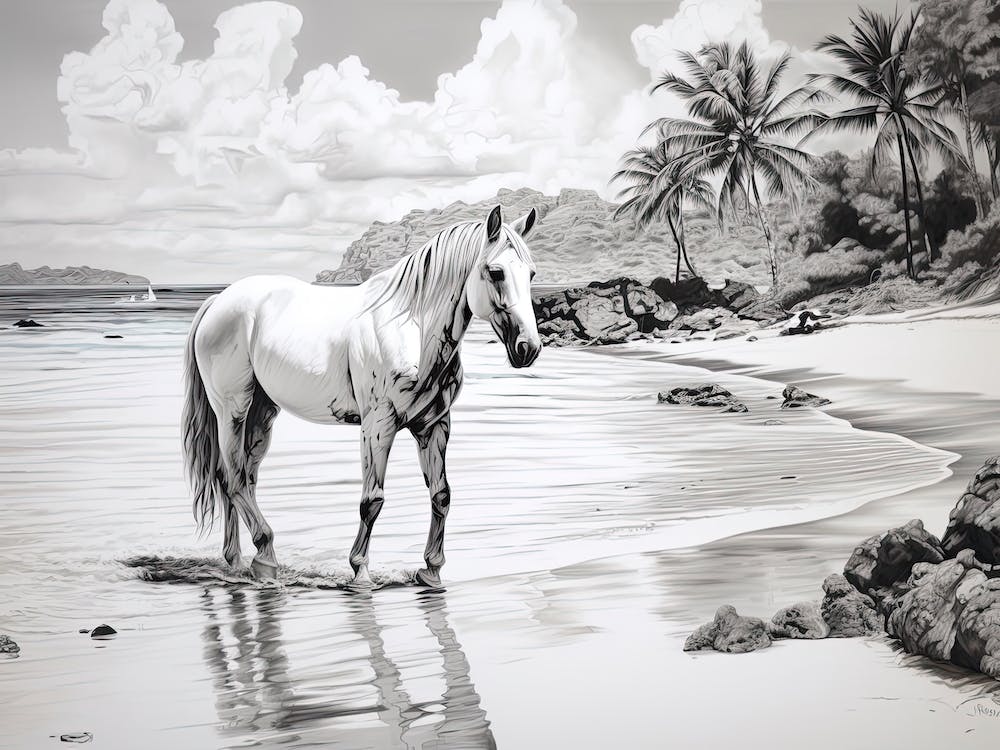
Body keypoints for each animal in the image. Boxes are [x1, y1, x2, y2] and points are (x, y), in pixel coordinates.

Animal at [181, 205, 541, 587]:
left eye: (531, 273)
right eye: (496, 272)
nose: (528, 348)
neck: (411, 328)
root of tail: (219, 301)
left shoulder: (434, 426)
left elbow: (441, 495)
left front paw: (431, 571)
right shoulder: (377, 425)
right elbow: (372, 500)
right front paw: (360, 572)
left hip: (261, 414)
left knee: (236, 479)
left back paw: (235, 562)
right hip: (232, 410)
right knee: (234, 480)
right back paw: (265, 557)